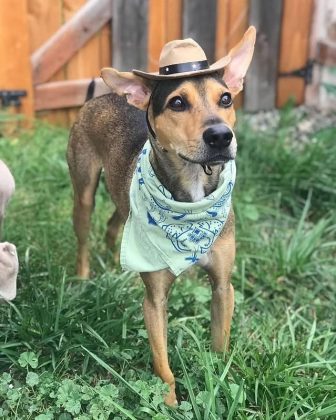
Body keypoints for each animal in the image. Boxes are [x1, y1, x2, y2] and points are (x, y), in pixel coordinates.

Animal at [67, 25, 256, 404]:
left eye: (226, 99)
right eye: (177, 103)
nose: (220, 136)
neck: (191, 203)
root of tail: (101, 97)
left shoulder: (223, 287)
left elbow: (220, 343)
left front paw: (222, 382)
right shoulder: (154, 301)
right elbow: (161, 362)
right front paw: (169, 402)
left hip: (122, 201)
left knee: (112, 227)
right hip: (84, 193)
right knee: (83, 237)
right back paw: (83, 278)